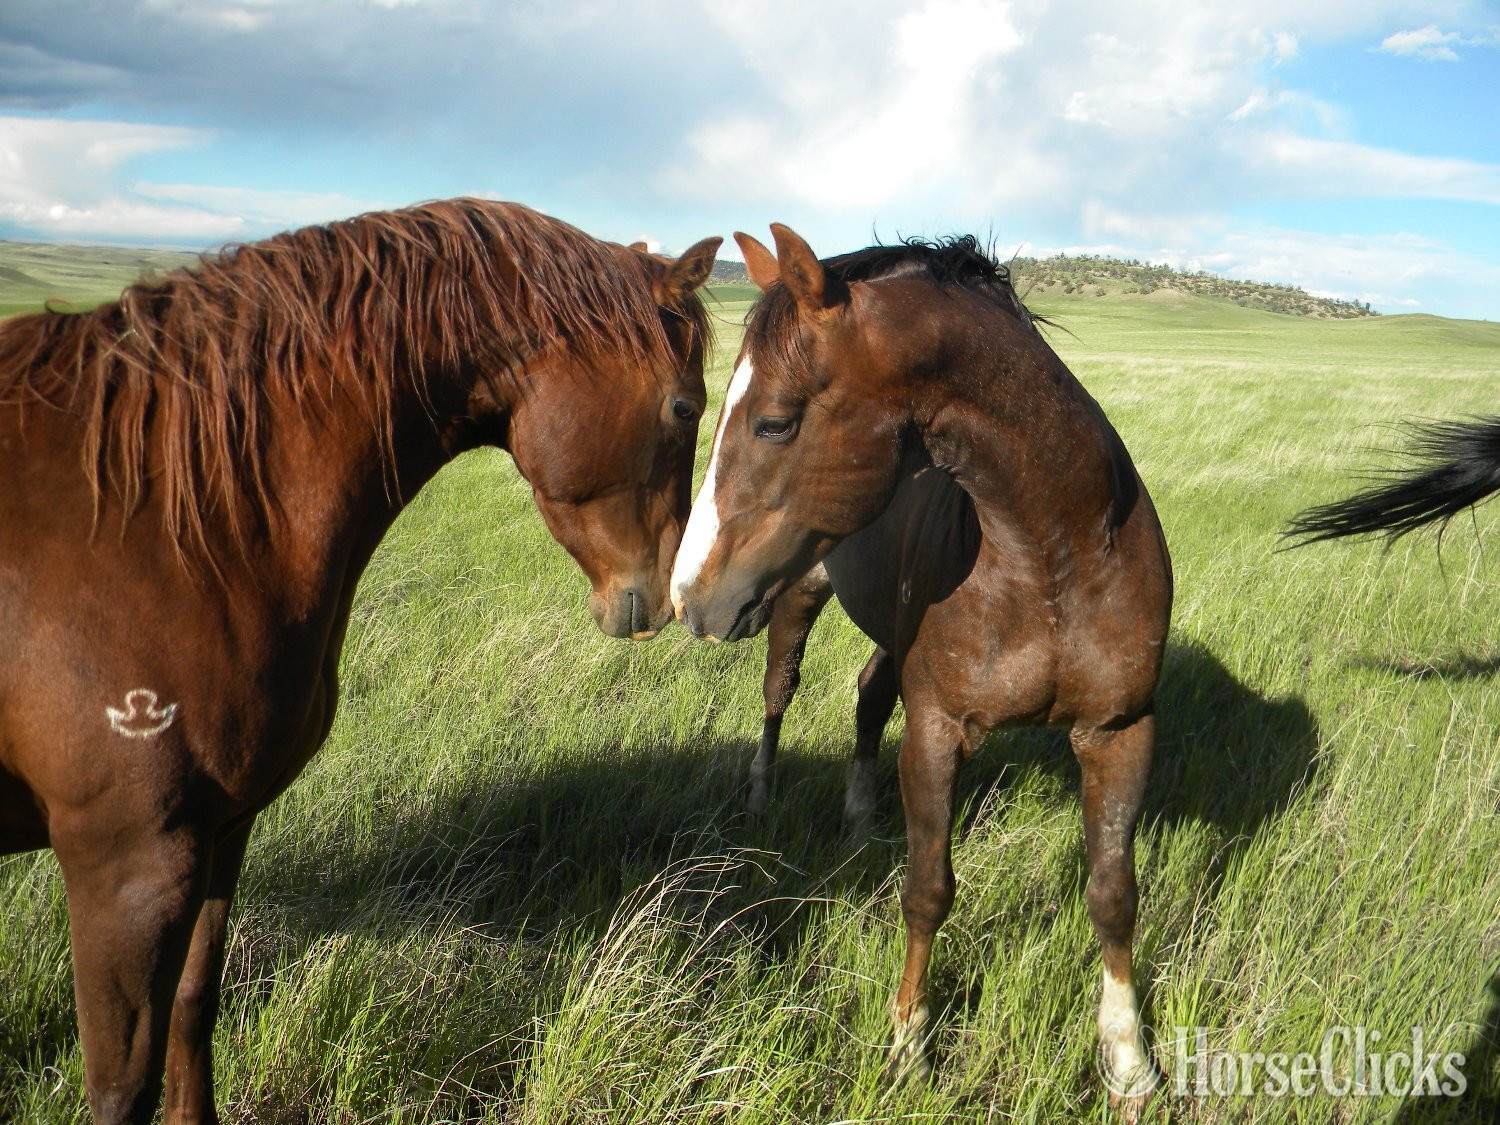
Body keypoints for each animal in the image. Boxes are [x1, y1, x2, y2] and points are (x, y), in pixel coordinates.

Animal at [0, 198, 720, 1124]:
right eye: (684, 406)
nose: (664, 599)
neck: (161, 521)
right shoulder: (127, 864)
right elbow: (122, 1085)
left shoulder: (220, 830)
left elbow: (195, 1007)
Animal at [671, 225, 1173, 1105]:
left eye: (774, 423)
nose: (687, 593)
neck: (1056, 548)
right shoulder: (939, 730)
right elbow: (929, 888)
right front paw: (909, 1041)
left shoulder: (1119, 729)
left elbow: (1113, 894)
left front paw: (1127, 1058)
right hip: (794, 598)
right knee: (778, 692)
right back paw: (762, 793)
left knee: (869, 697)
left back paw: (861, 811)